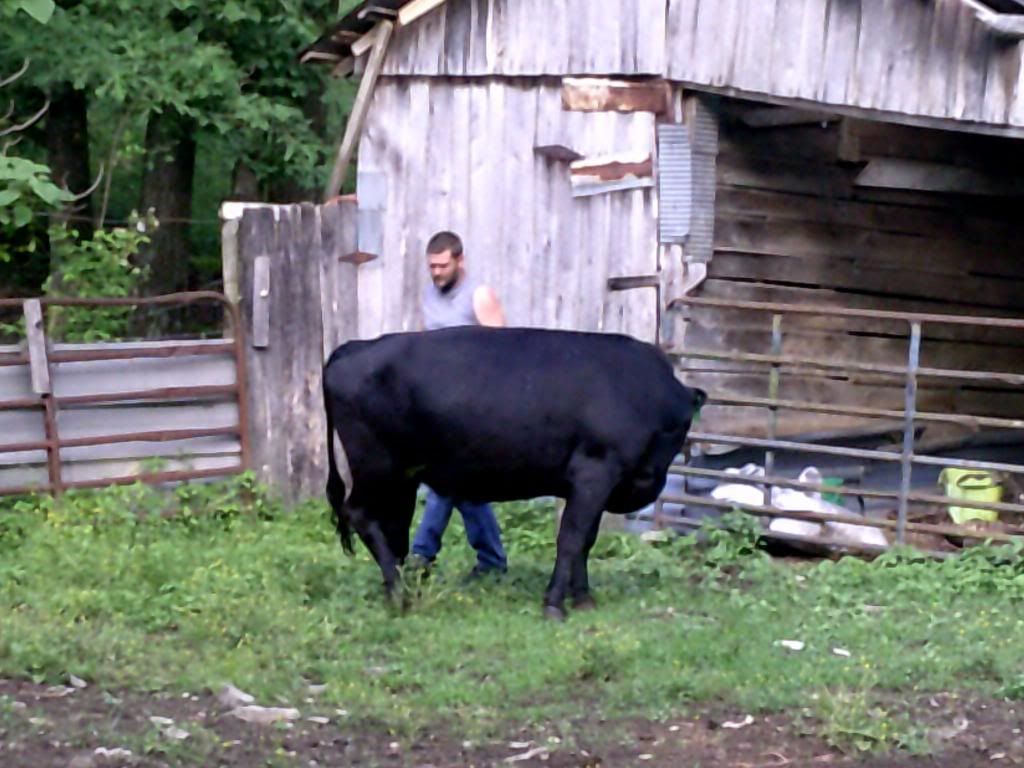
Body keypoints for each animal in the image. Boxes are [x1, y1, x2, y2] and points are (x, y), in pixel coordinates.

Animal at [322, 325, 706, 620]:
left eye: (683, 427)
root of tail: (355, 346)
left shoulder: (601, 483)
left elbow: (586, 540)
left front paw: (583, 599)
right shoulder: (595, 471)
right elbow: (571, 538)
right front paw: (554, 604)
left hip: (402, 476)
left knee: (392, 529)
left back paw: (397, 589)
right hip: (376, 467)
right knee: (360, 514)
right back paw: (400, 596)